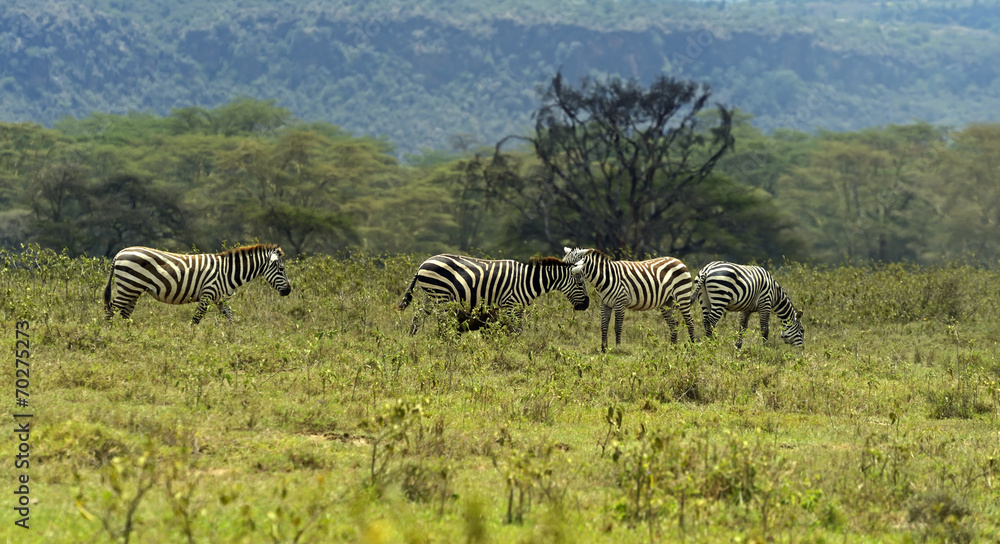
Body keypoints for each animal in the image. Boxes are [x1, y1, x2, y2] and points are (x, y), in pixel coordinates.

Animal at [104, 244, 292, 324]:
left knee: (124, 313)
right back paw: (108, 334)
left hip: (133, 289)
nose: (288, 291)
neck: (227, 272)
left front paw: (233, 340)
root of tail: (119, 253)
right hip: (129, 286)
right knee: (111, 308)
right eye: (281, 269)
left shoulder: (220, 299)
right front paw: (191, 340)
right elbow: (196, 319)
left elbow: (230, 318)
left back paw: (127, 335)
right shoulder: (207, 294)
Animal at [397, 254, 590, 334]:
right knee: (442, 322)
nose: (587, 304)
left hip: (430, 297)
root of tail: (422, 264)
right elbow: (516, 330)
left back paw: (412, 338)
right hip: (441, 297)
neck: (527, 281)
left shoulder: (515, 308)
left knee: (417, 317)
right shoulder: (510, 305)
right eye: (580, 284)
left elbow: (510, 329)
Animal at [562, 247, 696, 352]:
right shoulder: (604, 304)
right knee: (673, 323)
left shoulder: (620, 303)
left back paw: (692, 346)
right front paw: (603, 348)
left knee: (689, 321)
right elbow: (604, 326)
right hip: (666, 302)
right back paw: (673, 347)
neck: (604, 278)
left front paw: (618, 348)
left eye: (570, 264)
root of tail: (678, 260)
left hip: (682, 295)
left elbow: (617, 326)